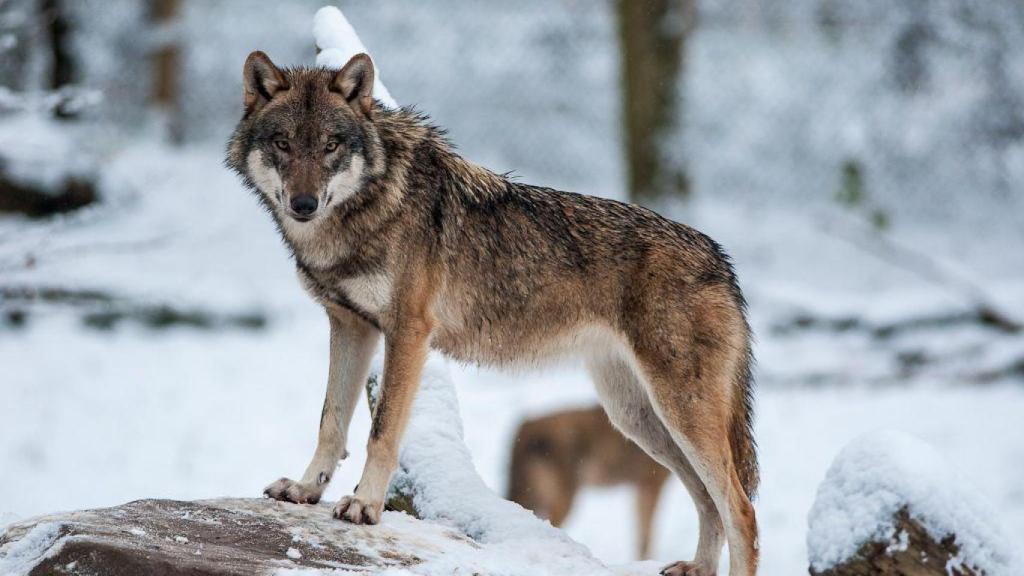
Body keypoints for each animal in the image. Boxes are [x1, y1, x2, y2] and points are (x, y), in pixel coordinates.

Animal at [507, 405, 671, 559]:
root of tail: (525, 427)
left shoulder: (640, 487)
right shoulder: (651, 485)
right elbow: (646, 538)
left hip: (537, 500)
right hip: (563, 501)